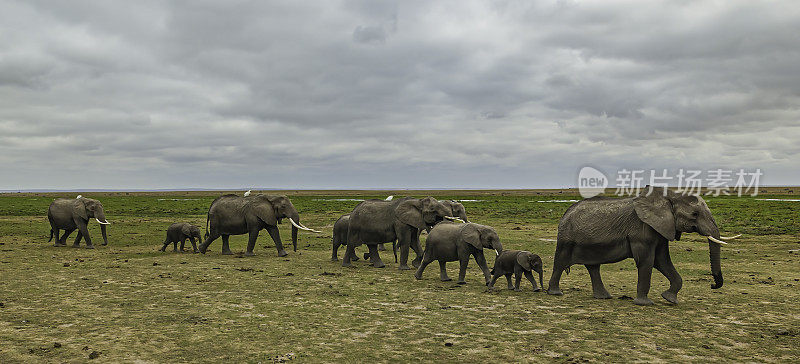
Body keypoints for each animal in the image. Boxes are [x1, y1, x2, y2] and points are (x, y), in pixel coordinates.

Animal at [544, 188, 736, 304]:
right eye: (694, 214)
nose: (712, 286)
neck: (667, 196)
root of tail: (565, 213)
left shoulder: (661, 230)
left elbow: (662, 260)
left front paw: (669, 299)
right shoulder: (642, 230)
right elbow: (647, 261)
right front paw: (645, 303)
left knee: (593, 266)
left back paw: (604, 297)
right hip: (567, 239)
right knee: (560, 262)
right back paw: (555, 293)